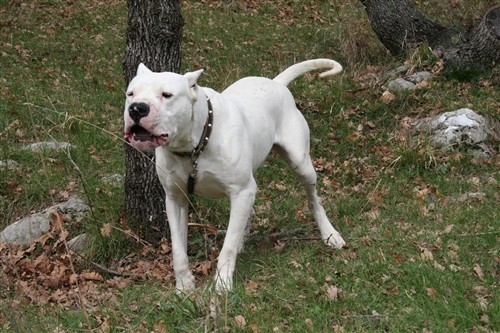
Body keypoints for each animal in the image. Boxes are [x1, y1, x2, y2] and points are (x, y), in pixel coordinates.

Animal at [123, 59, 346, 290]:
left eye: (167, 95)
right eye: (130, 94)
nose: (137, 108)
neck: (194, 145)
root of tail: (277, 83)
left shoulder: (241, 191)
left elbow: (227, 246)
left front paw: (222, 284)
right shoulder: (175, 199)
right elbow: (178, 249)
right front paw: (184, 285)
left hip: (301, 163)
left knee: (313, 199)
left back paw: (330, 234)